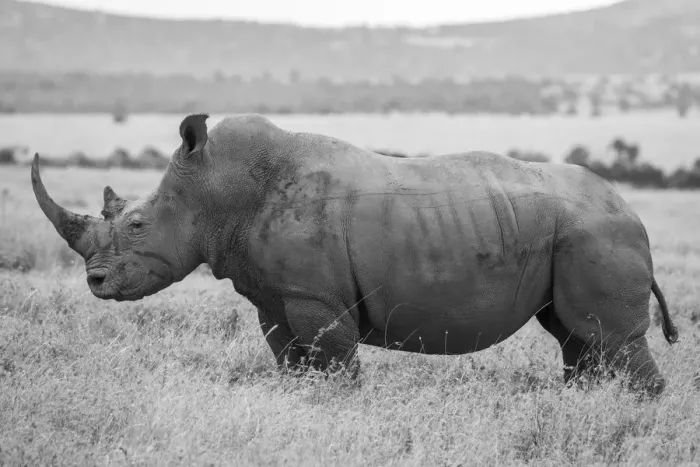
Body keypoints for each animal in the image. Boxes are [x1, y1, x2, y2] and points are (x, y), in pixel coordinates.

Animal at [31, 113, 679, 397]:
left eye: (137, 224)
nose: (95, 282)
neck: (218, 188)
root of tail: (632, 211)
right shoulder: (275, 297)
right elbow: (290, 360)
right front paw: (299, 400)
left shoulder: (316, 297)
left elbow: (337, 362)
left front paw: (338, 404)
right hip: (576, 234)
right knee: (577, 336)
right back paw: (586, 404)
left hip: (597, 234)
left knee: (608, 339)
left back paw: (630, 412)